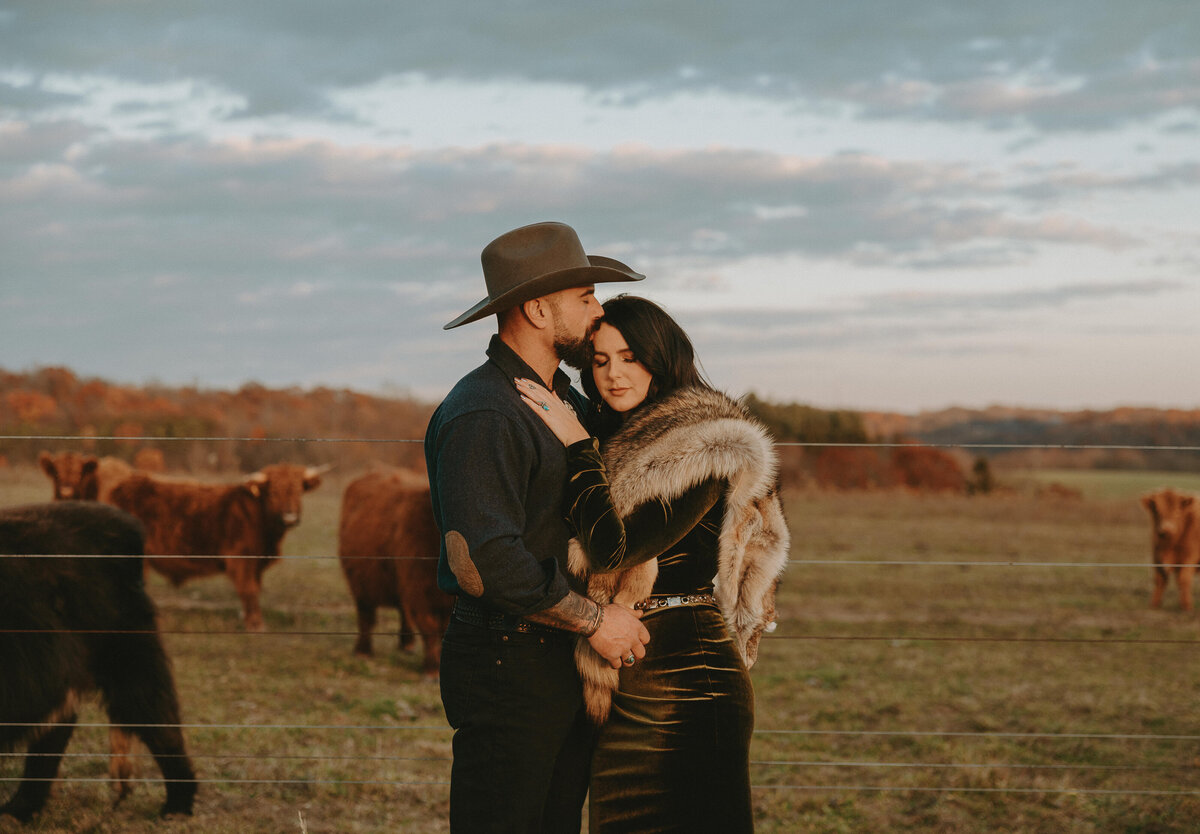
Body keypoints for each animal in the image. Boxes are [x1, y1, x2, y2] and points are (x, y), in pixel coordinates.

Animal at [109, 463, 328, 633]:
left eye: (298, 490)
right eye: (273, 492)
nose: (289, 516)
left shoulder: (256, 564)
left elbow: (254, 589)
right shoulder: (241, 558)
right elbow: (249, 590)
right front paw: (256, 625)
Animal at [338, 470, 453, 676]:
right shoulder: (418, 591)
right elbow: (430, 629)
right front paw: (432, 669)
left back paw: (406, 644)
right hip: (360, 581)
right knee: (365, 616)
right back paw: (363, 651)